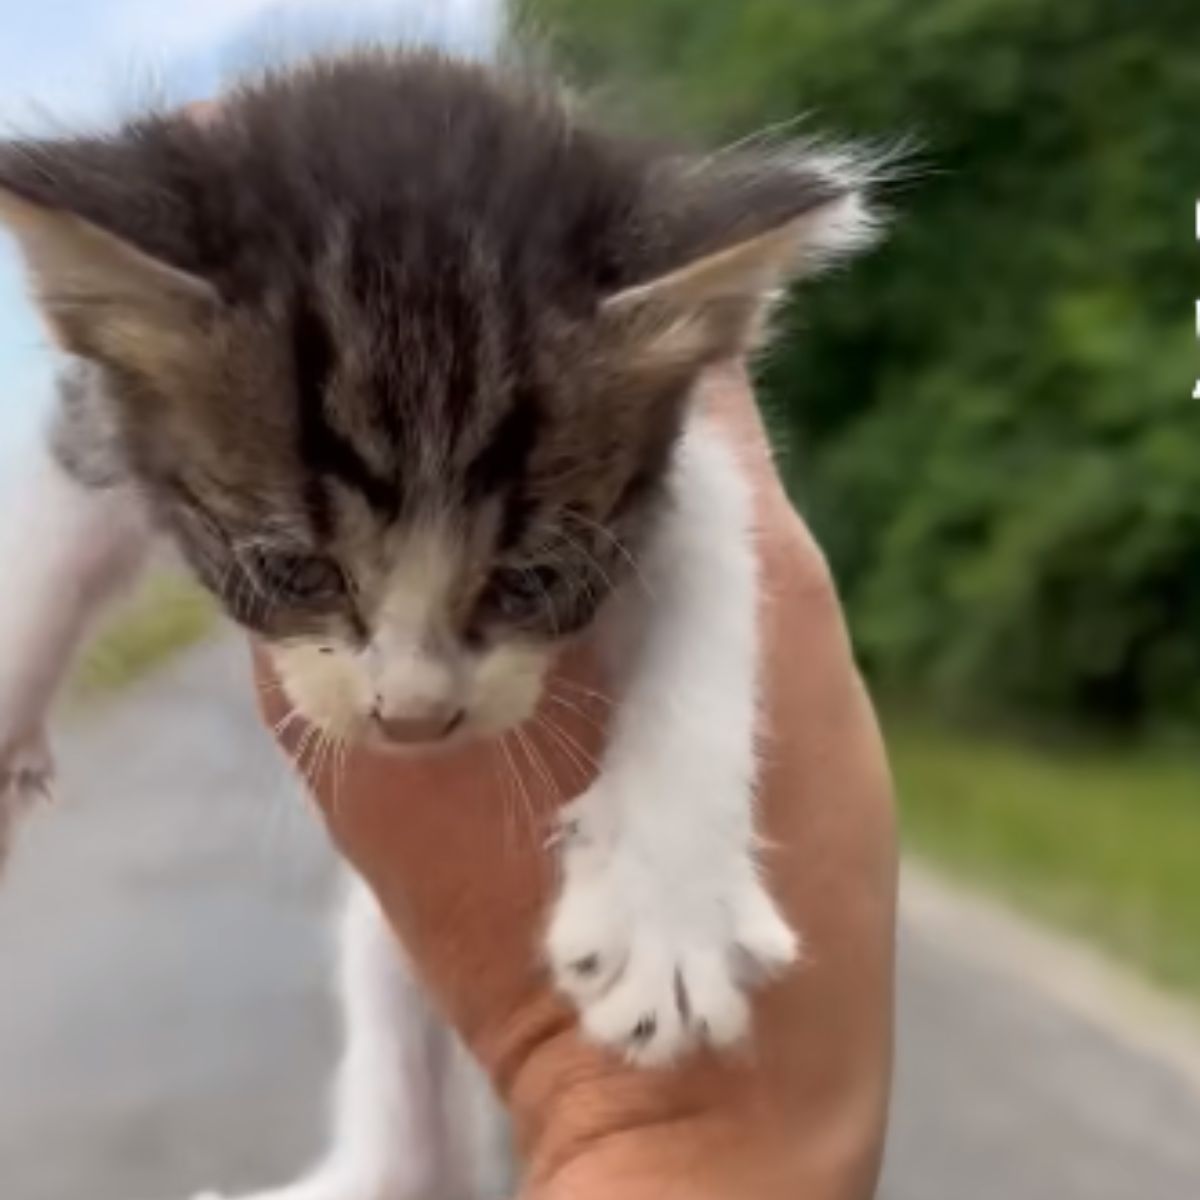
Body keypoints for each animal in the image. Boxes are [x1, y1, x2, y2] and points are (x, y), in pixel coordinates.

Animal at [0, 46, 873, 1200]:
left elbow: (713, 606)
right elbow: (44, 545)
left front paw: (668, 912)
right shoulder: (102, 409)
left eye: (531, 581)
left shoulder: (687, 471)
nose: (412, 716)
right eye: (293, 568)